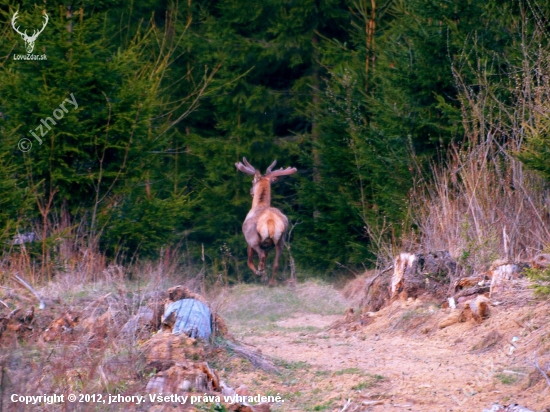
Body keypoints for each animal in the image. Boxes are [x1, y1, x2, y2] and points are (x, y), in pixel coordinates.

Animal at [236, 158, 298, 286]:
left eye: (252, 181)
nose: (251, 191)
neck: (259, 205)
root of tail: (270, 221)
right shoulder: (268, 246)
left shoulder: (249, 241)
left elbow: (249, 261)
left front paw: (259, 272)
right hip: (281, 240)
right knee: (276, 263)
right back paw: (270, 282)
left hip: (254, 239)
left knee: (261, 255)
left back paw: (260, 272)